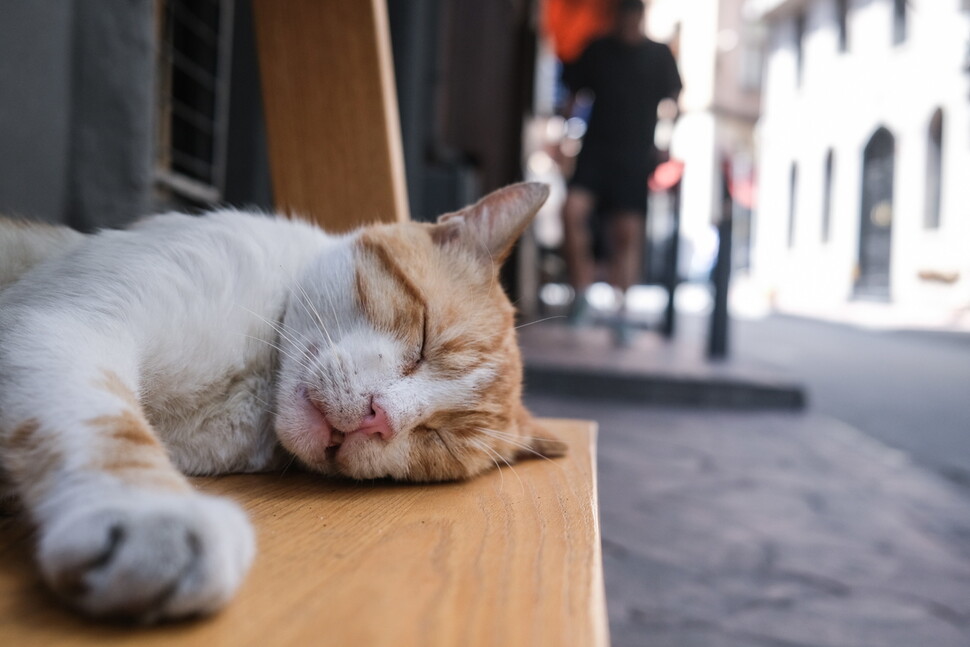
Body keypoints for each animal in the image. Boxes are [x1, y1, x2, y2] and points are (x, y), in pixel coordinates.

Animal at [0, 182, 560, 624]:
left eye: (436, 438)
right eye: (424, 338)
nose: (378, 419)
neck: (254, 384)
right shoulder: (64, 321)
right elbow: (107, 421)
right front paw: (148, 513)